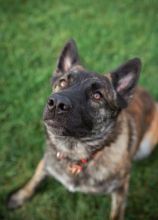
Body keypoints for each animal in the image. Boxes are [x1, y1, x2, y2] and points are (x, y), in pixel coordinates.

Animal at [7, 40, 158, 220]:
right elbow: (34, 179)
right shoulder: (46, 162)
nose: (56, 103)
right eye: (63, 82)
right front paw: (20, 196)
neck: (75, 153)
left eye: (97, 95)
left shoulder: (121, 187)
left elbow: (116, 214)